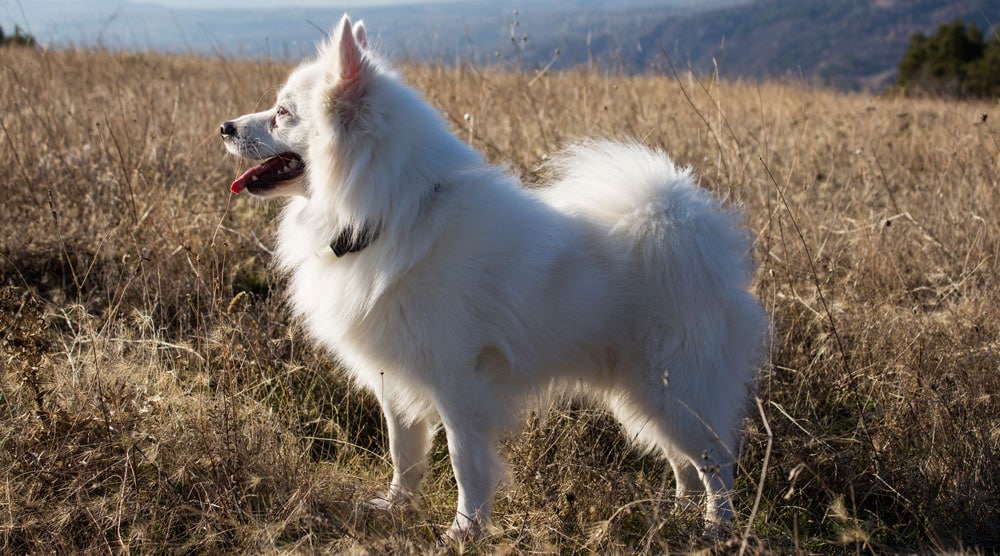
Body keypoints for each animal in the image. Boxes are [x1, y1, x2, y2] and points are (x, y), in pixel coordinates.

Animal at [221, 15, 764, 540]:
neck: (393, 212)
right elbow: (404, 453)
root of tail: (694, 231)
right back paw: (676, 515)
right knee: (683, 463)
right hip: (643, 395)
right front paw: (395, 507)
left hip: (674, 389)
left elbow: (466, 462)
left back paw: (717, 527)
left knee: (716, 462)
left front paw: (465, 530)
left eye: (282, 113)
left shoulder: (459, 383)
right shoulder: (395, 379)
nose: (224, 127)